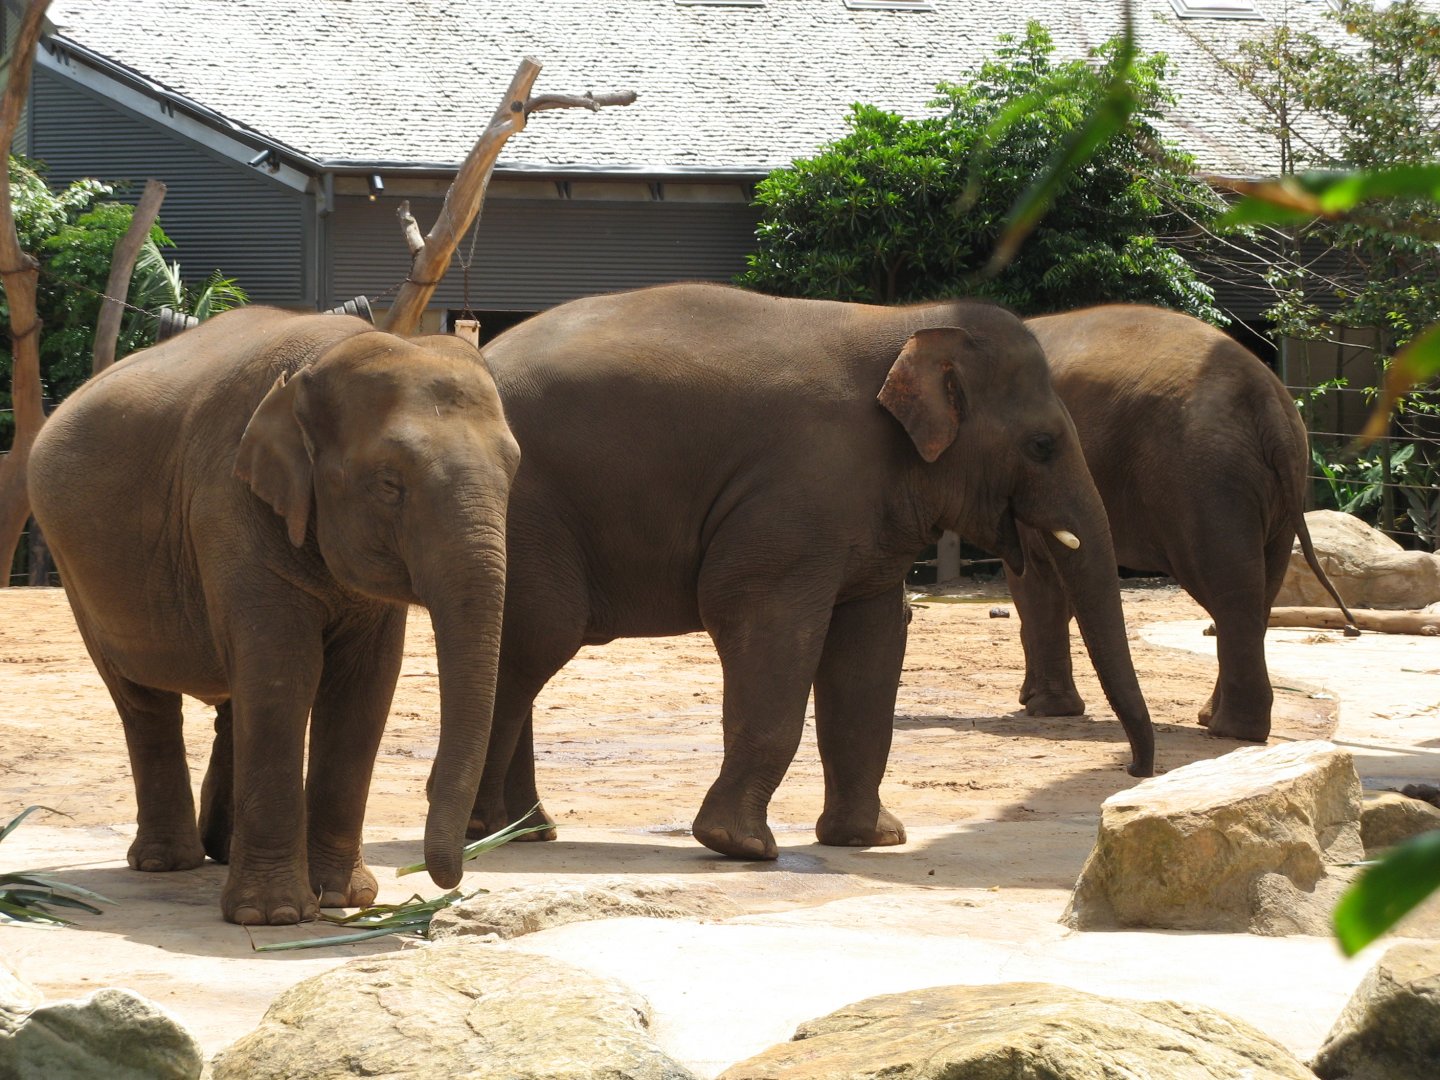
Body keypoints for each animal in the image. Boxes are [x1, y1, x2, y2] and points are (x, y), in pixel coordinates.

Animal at [26, 307, 519, 925]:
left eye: (515, 471)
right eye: (389, 484)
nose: (447, 878)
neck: (322, 360)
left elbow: (364, 686)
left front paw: (344, 898)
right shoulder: (228, 505)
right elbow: (285, 669)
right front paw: (275, 917)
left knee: (234, 697)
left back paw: (220, 850)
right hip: (75, 568)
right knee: (143, 699)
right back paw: (167, 863)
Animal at [463, 282, 1154, 860]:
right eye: (1043, 445)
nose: (1134, 771)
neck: (906, 322)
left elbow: (870, 643)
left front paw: (872, 839)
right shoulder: (799, 497)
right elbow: (763, 623)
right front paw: (742, 847)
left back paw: (525, 833)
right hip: (526, 512)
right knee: (539, 638)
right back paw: (491, 833)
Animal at [1013, 304, 1355, 742]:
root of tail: (1270, 402)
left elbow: (1037, 578)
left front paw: (1043, 708)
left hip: (1204, 480)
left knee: (1229, 588)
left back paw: (1232, 730)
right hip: (1268, 491)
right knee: (1259, 588)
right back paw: (1216, 720)